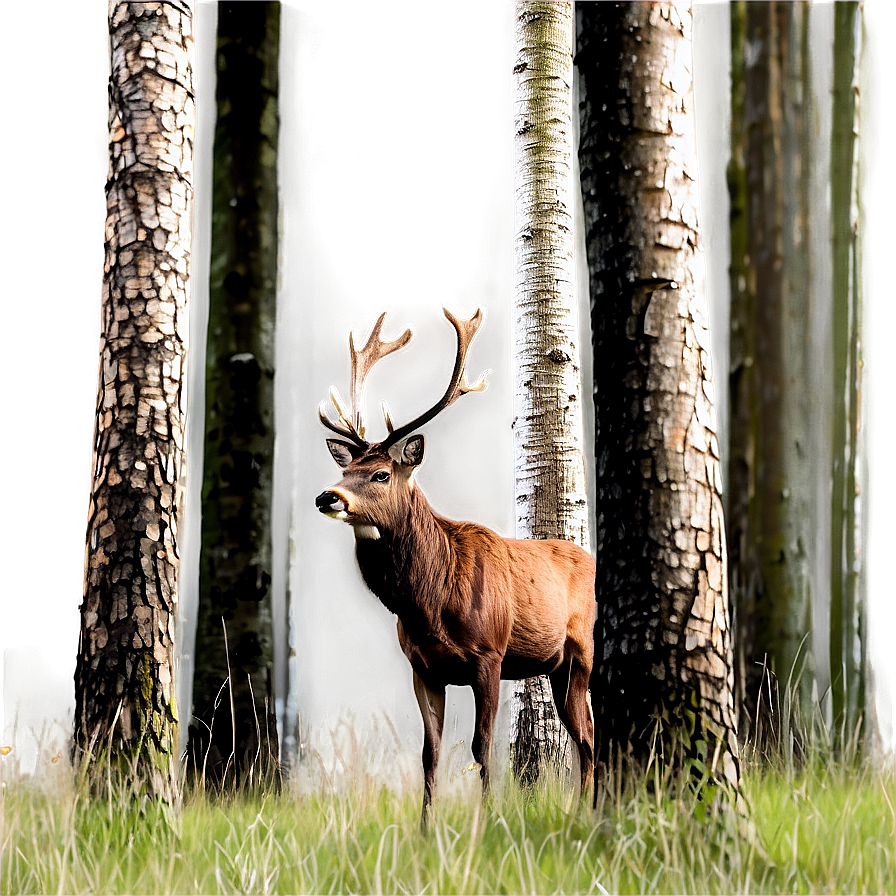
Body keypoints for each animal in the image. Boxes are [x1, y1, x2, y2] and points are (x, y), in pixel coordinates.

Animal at [316, 304, 596, 824]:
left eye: (380, 474)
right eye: (345, 469)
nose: (328, 496)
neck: (429, 604)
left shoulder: (489, 655)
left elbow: (482, 748)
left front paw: (485, 821)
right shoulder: (422, 665)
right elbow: (430, 754)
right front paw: (426, 827)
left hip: (582, 648)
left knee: (588, 737)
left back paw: (587, 811)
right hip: (555, 666)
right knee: (584, 733)